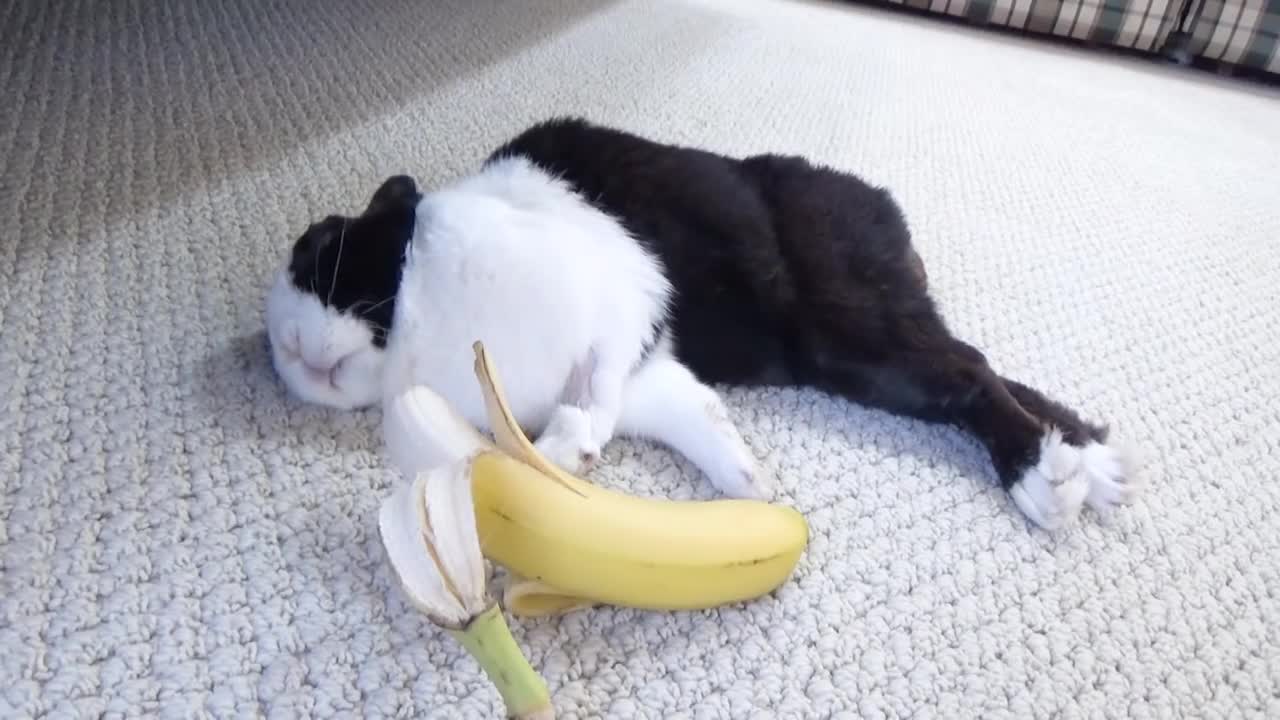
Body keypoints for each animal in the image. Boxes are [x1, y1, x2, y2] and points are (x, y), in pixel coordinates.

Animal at [259, 114, 1141, 525]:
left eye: (319, 248)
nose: (286, 348)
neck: (417, 312)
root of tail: (884, 209)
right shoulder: (651, 376)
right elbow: (692, 418)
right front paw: (755, 487)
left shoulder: (620, 308)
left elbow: (594, 397)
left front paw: (561, 457)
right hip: (867, 347)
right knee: (973, 365)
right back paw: (1090, 464)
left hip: (849, 330)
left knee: (969, 375)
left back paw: (1044, 480)